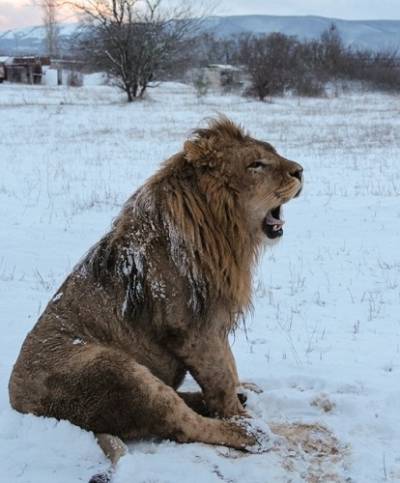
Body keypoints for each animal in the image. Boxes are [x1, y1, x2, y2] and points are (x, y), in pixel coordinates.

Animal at [8, 117, 304, 480]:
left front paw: (238, 392)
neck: (225, 230)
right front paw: (236, 414)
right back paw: (252, 433)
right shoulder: (192, 329)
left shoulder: (215, 323)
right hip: (115, 369)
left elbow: (229, 366)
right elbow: (220, 379)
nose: (301, 171)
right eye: (256, 164)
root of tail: (20, 405)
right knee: (181, 423)